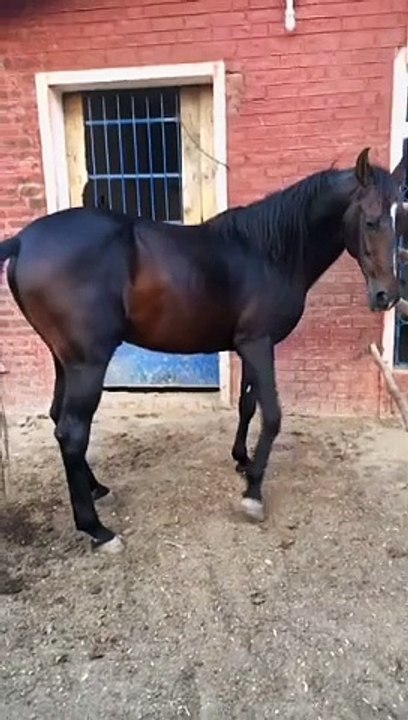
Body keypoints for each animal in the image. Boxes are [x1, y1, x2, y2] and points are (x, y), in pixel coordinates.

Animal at [0, 148, 403, 554]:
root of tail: (22, 241)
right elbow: (272, 415)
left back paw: (97, 488)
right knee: (72, 433)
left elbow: (248, 405)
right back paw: (98, 530)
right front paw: (253, 492)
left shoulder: (250, 344)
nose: (387, 295)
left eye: (399, 220)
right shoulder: (258, 343)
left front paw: (242, 461)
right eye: (371, 221)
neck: (269, 252)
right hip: (88, 363)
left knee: (58, 420)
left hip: (64, 360)